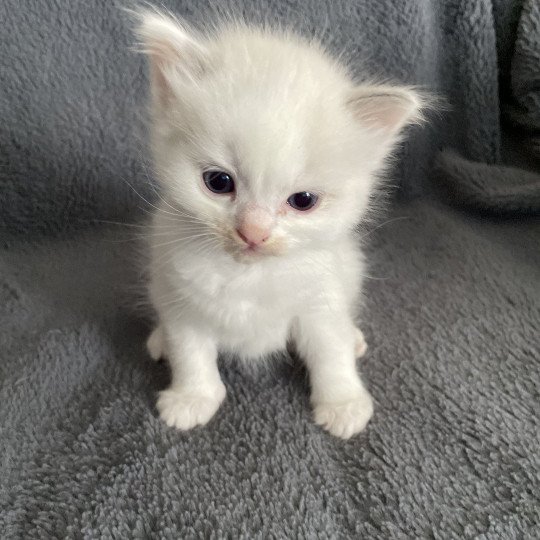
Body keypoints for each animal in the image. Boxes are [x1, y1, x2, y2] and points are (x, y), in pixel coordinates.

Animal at [137, 10, 424, 438]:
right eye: (218, 182)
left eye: (303, 201)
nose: (253, 232)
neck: (248, 276)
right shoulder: (180, 300)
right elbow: (191, 354)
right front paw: (192, 398)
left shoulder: (321, 300)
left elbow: (330, 352)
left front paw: (342, 403)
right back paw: (160, 343)